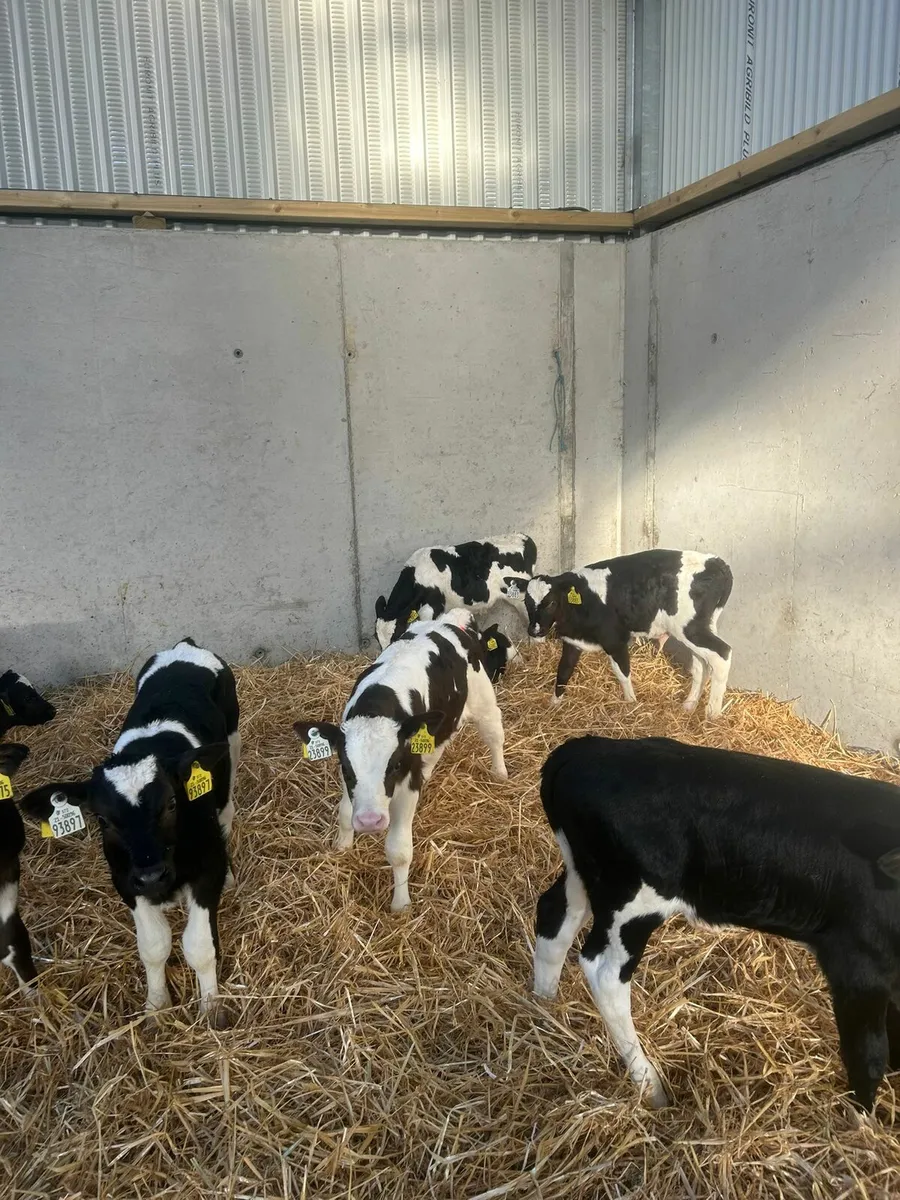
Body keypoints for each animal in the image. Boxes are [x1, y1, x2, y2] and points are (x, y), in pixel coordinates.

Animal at [19, 639, 239, 1025]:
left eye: (171, 803)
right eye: (103, 820)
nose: (152, 875)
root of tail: (186, 645)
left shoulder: (207, 868)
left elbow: (199, 946)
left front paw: (212, 1008)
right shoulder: (125, 880)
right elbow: (154, 946)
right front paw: (156, 1007)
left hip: (232, 744)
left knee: (227, 808)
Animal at [295, 609, 508, 912]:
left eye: (394, 765)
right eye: (346, 768)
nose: (370, 821)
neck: (377, 705)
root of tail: (448, 619)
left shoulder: (406, 785)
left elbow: (398, 850)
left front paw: (401, 904)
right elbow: (345, 813)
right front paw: (342, 848)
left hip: (482, 699)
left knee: (494, 734)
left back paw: (499, 773)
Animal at [374, 534, 537, 648]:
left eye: (396, 635)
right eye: (377, 639)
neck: (417, 578)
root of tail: (524, 538)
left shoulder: (432, 610)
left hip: (522, 597)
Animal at [502, 549, 733, 717]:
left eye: (550, 603)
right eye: (526, 601)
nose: (534, 630)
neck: (583, 601)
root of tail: (715, 561)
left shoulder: (614, 639)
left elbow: (622, 673)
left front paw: (631, 704)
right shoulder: (572, 641)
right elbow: (563, 672)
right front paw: (554, 704)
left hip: (690, 628)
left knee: (722, 654)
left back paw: (712, 715)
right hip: (698, 628)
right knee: (701, 665)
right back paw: (689, 705)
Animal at [533, 735, 900, 1113]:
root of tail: (585, 749)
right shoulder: (858, 964)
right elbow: (869, 1054)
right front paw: (863, 1118)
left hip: (584, 875)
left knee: (555, 917)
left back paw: (544, 1009)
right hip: (633, 901)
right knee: (604, 972)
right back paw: (650, 1085)